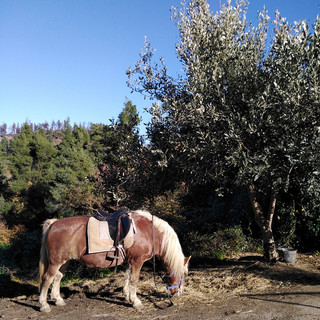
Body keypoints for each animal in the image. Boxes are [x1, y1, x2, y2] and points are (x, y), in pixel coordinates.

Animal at [39, 210, 191, 312]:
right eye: (184, 274)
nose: (179, 293)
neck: (149, 231)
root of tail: (53, 224)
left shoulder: (130, 261)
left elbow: (128, 277)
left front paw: (128, 297)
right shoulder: (137, 261)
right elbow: (134, 279)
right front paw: (136, 301)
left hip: (64, 262)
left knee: (57, 277)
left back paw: (58, 300)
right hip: (56, 262)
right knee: (47, 278)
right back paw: (44, 304)